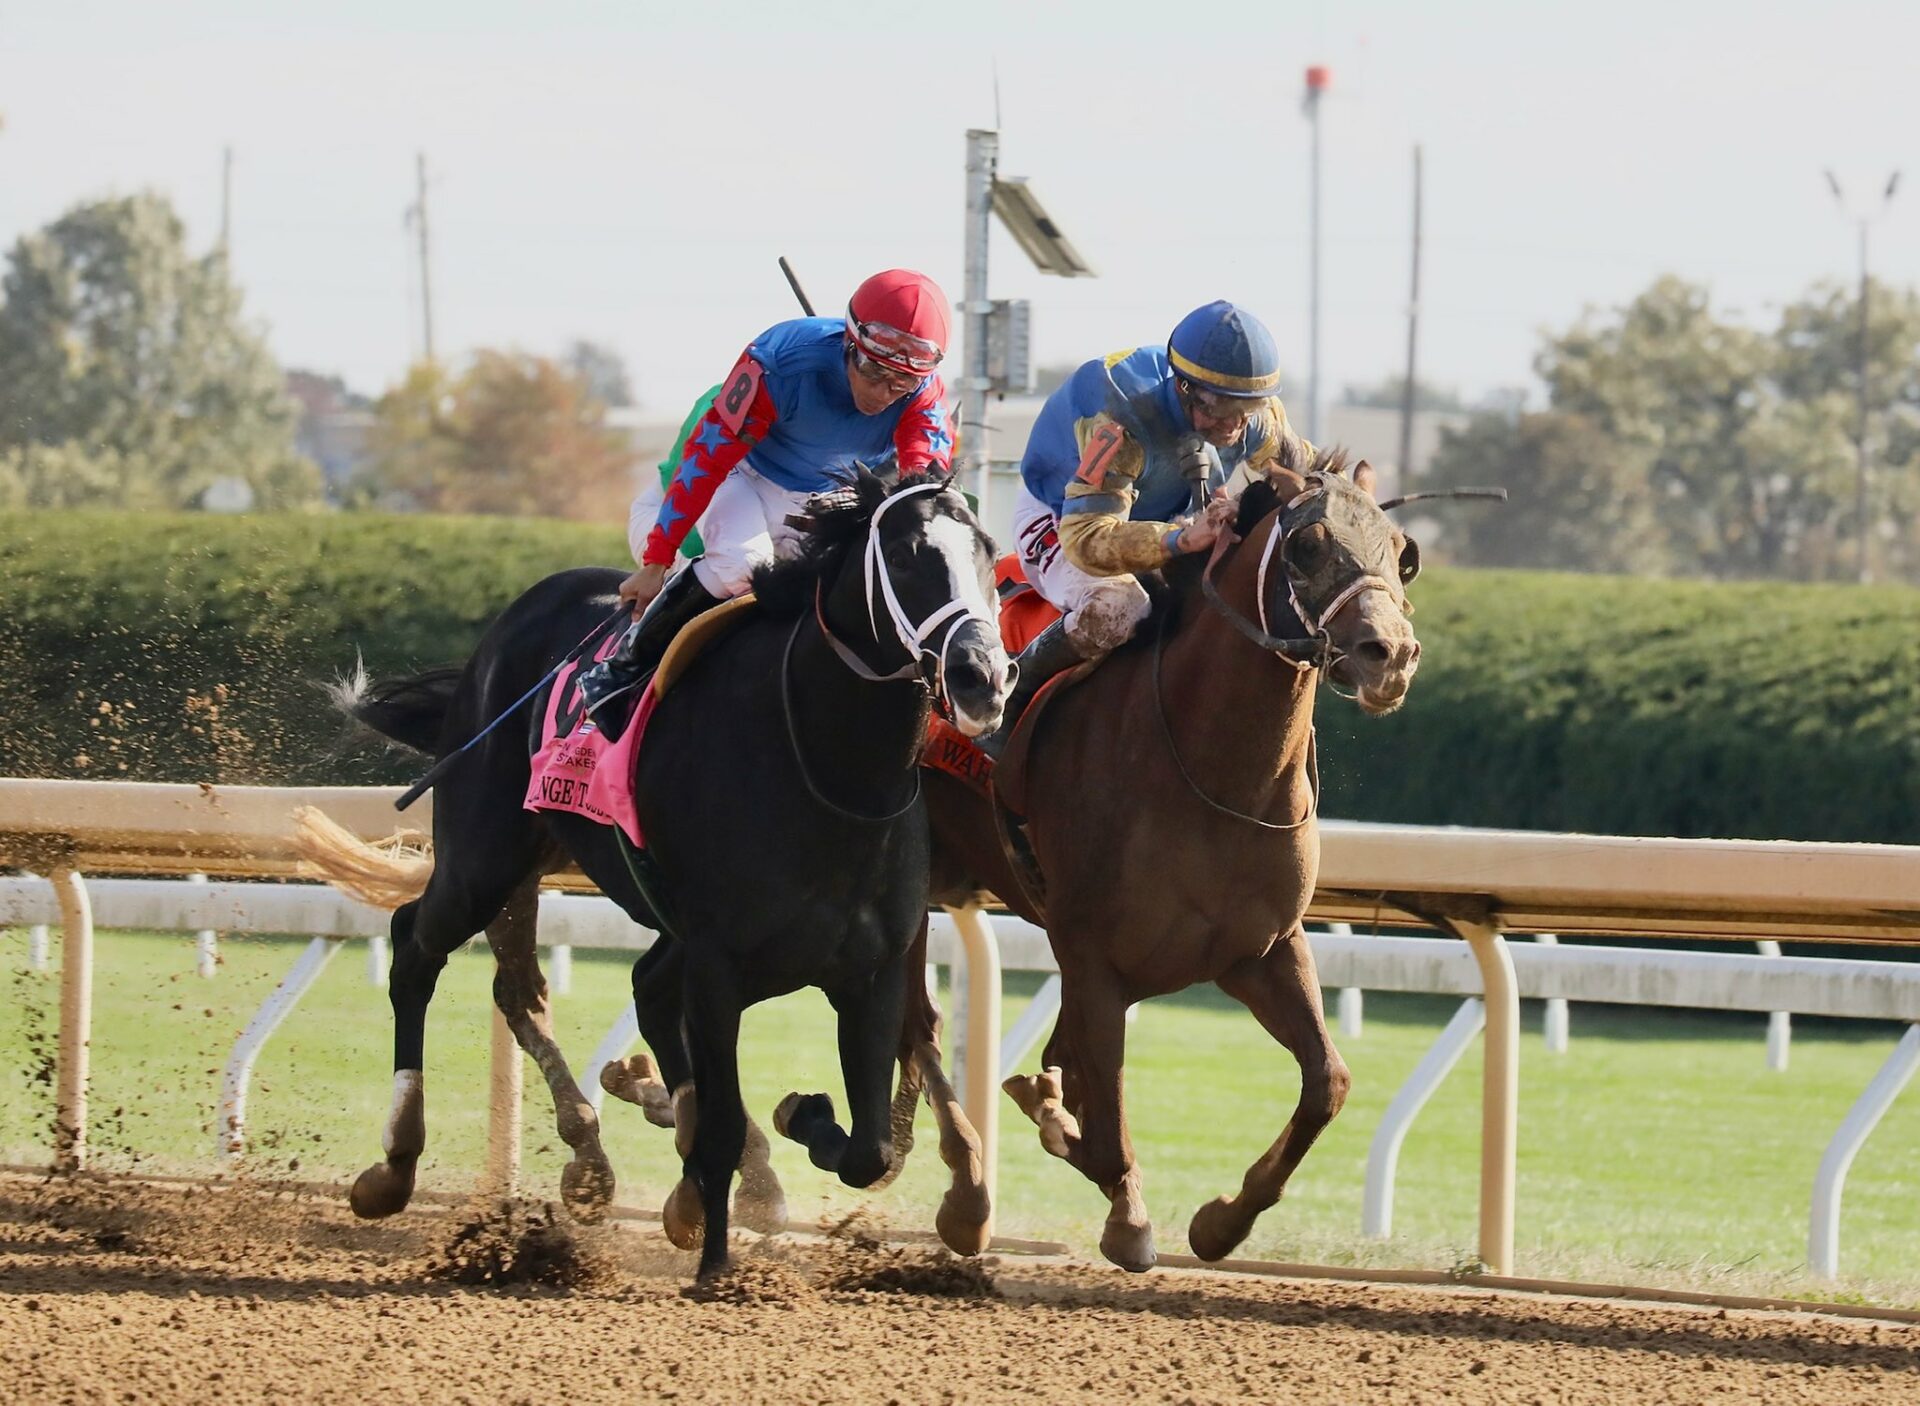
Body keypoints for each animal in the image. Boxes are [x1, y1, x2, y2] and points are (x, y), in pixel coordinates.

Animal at [303, 468, 1006, 1275]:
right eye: (911, 557)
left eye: (989, 556)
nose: (984, 676)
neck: (831, 772)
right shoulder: (718, 964)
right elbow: (727, 1121)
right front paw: (718, 1269)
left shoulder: (874, 967)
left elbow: (868, 1148)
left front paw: (799, 1118)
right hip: (484, 859)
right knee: (415, 946)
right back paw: (395, 1164)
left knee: (621, 987)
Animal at [929, 445, 1428, 1267]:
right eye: (1307, 545)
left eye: (1402, 551)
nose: (1389, 656)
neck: (1211, 769)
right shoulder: (1092, 955)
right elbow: (1105, 1108)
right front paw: (1123, 1209)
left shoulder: (1261, 950)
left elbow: (1328, 1080)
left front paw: (1224, 1219)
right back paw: (961, 1198)